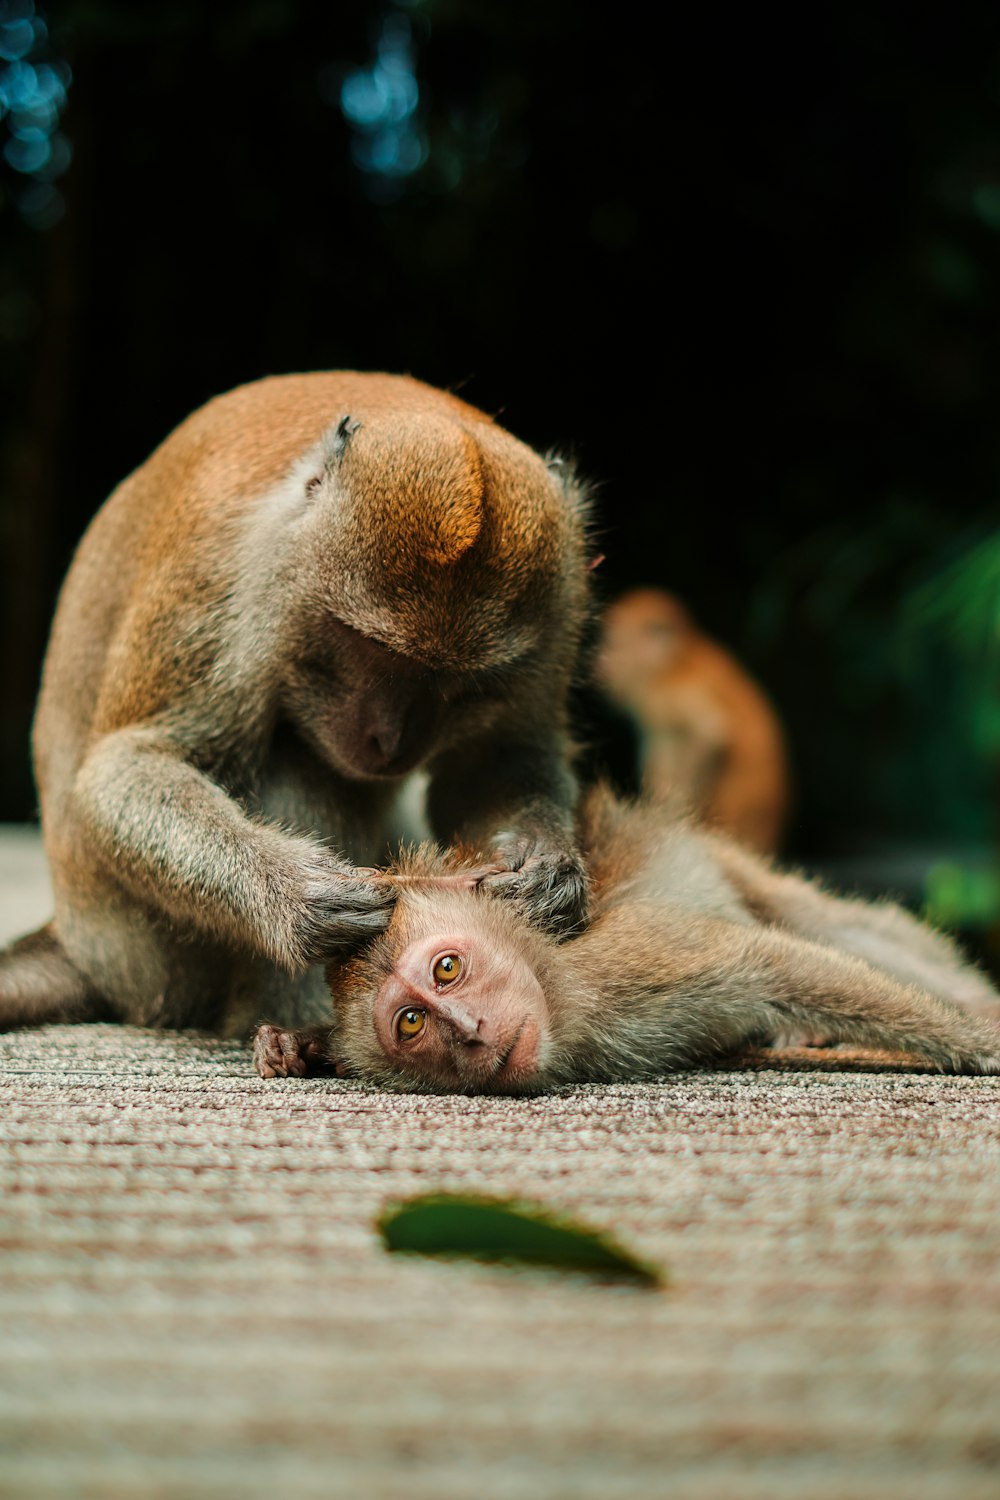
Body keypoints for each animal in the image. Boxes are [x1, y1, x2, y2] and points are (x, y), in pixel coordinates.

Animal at [0, 369, 593, 1038]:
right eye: (369, 647)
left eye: (459, 684)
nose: (390, 741)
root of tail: (86, 949)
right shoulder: (225, 574)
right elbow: (126, 767)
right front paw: (293, 893)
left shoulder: (564, 592)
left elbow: (498, 761)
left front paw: (548, 872)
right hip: (150, 952)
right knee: (302, 764)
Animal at [256, 792, 1000, 1098]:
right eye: (411, 1023)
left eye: (447, 969)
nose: (469, 1030)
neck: (565, 997)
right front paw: (299, 1045)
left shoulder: (633, 961)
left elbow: (770, 963)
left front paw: (984, 1043)